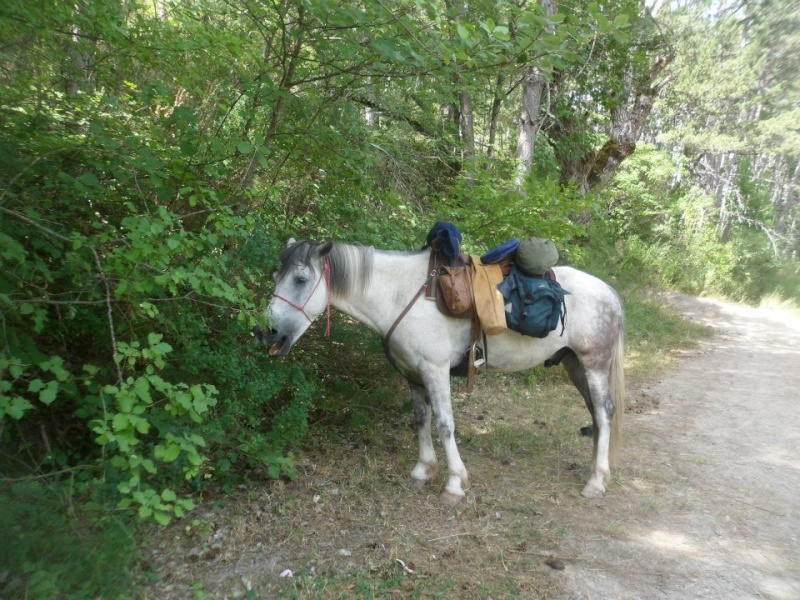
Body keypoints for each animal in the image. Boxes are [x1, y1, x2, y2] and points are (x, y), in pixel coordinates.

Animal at [253, 239, 620, 506]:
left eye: (301, 279)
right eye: (275, 278)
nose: (265, 332)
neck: (400, 295)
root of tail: (609, 293)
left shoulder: (435, 370)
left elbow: (445, 423)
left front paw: (455, 483)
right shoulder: (412, 373)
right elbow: (421, 418)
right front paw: (423, 470)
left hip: (594, 365)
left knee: (603, 413)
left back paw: (596, 481)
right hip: (574, 364)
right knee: (597, 413)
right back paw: (595, 471)